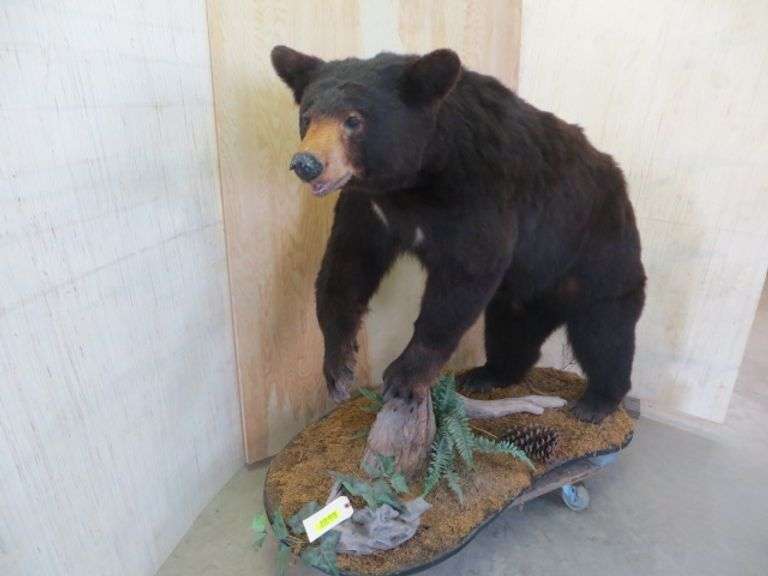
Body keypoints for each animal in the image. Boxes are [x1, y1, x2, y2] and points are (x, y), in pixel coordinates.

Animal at [271, 46, 646, 423]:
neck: (416, 179)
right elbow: (347, 264)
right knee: (511, 328)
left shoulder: (480, 189)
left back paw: (596, 401)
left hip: (597, 248)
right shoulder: (369, 207)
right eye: (307, 116)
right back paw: (488, 374)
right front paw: (339, 367)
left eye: (353, 120)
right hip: (525, 289)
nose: (306, 164)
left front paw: (403, 377)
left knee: (606, 331)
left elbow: (465, 275)